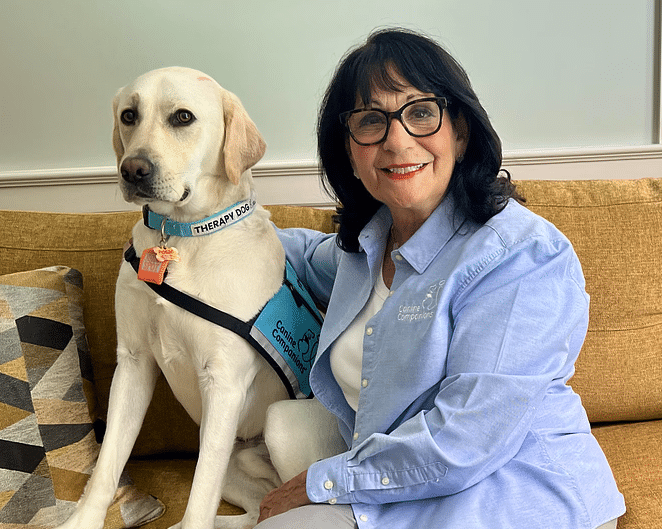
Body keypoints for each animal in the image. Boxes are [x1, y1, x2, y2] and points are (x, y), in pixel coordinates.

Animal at [57, 67, 306, 528]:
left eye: (183, 117)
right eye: (129, 115)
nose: (133, 169)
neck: (180, 238)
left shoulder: (222, 382)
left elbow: (199, 497)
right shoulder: (133, 362)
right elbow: (107, 465)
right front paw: (83, 520)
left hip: (273, 427)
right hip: (235, 464)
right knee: (258, 510)